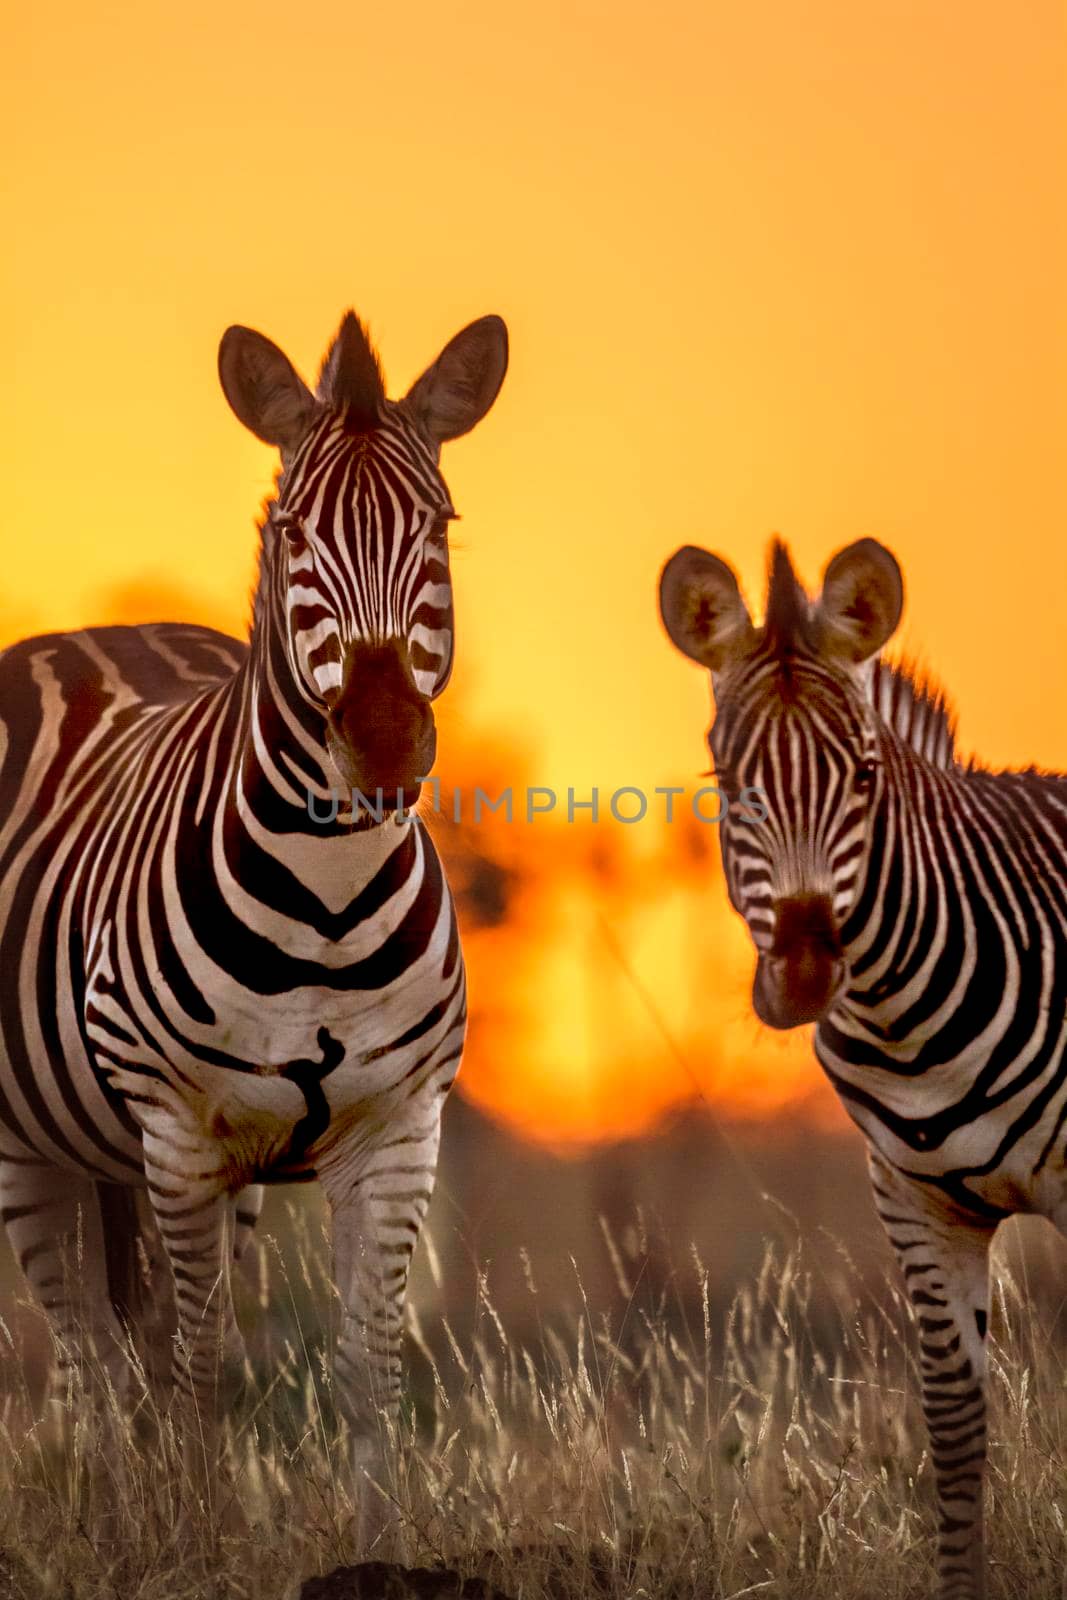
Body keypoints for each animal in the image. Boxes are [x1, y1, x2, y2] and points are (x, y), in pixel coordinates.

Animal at [0, 305, 508, 1516]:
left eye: (440, 525)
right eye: (291, 533)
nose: (380, 740)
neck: (324, 897)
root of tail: (92, 633)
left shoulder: (398, 1132)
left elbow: (368, 1366)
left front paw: (377, 1533)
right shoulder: (182, 1134)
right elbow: (203, 1365)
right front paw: (200, 1531)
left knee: (115, 1347)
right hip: (35, 1142)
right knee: (87, 1352)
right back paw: (117, 1510)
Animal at [659, 537, 1067, 1600]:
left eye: (865, 774)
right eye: (727, 777)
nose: (805, 969)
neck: (910, 1034)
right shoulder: (913, 1201)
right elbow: (955, 1426)